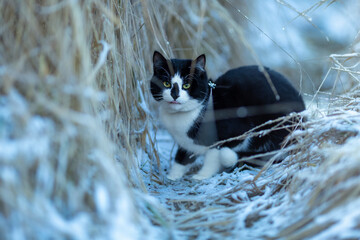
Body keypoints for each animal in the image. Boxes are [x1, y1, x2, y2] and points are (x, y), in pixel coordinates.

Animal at [150, 51, 306, 180]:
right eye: (166, 83)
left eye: (186, 85)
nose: (174, 95)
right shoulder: (185, 143)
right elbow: (181, 157)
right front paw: (173, 175)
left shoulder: (236, 129)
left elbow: (215, 154)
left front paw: (203, 175)